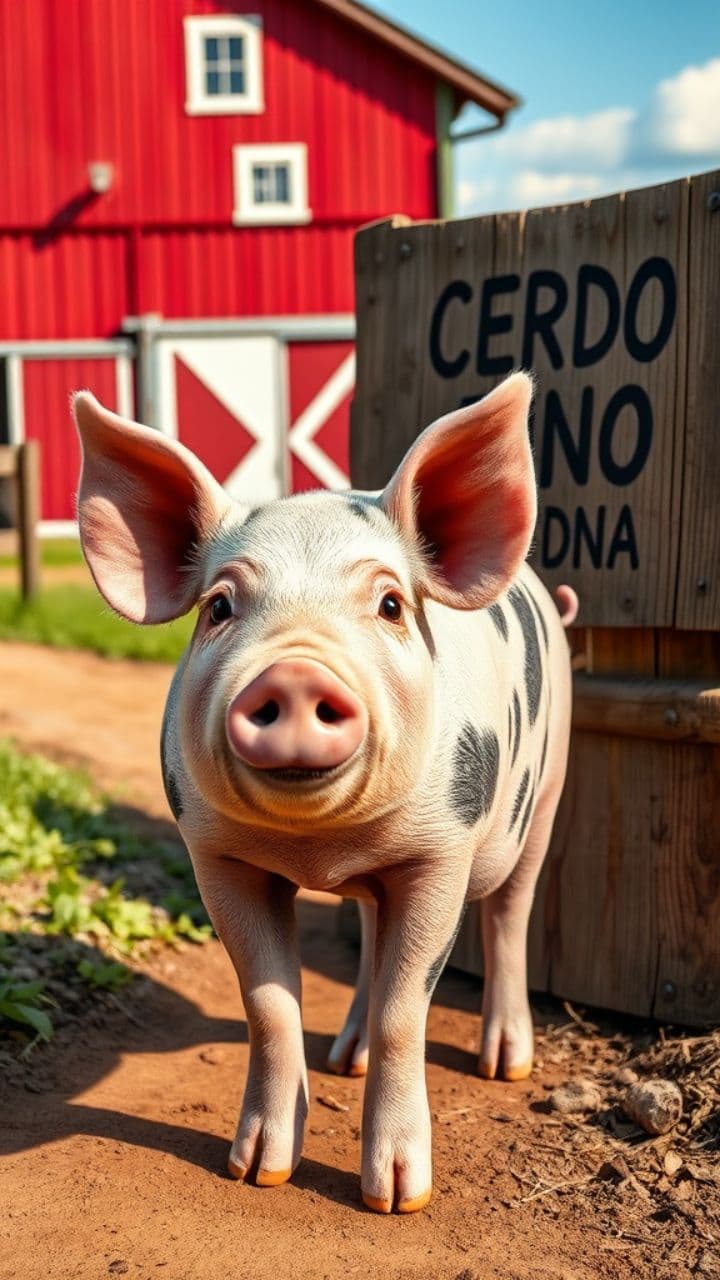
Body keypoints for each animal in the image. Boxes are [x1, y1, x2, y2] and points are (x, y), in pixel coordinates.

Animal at [73, 371, 576, 1215]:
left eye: (391, 605)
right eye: (219, 607)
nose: (296, 673)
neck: (321, 848)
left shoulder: (440, 854)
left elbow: (410, 1009)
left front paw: (397, 1200)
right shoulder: (216, 856)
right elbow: (269, 1004)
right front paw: (255, 1172)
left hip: (543, 800)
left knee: (511, 912)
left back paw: (505, 1065)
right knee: (371, 933)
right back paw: (347, 1058)